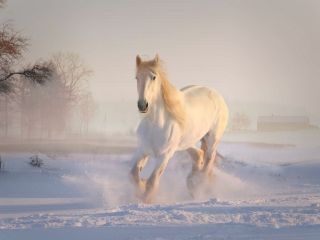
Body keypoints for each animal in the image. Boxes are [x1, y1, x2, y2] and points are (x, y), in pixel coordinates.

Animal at [130, 54, 228, 202]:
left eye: (154, 77)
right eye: (137, 77)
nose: (142, 105)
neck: (156, 125)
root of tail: (216, 94)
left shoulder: (165, 155)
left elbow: (152, 182)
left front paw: (146, 200)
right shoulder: (143, 150)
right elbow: (134, 174)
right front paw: (141, 185)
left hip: (212, 139)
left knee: (208, 161)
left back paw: (199, 186)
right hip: (187, 142)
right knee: (199, 155)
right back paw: (192, 183)